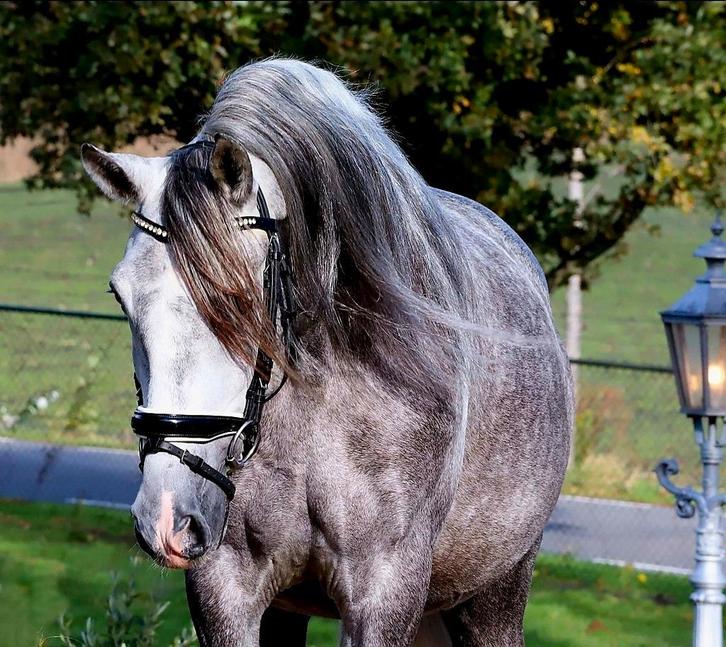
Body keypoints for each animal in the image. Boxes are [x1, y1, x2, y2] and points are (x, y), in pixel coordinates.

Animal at [80, 58, 572, 647]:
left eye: (236, 296)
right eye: (119, 294)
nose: (167, 516)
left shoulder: (384, 593)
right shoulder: (226, 590)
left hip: (496, 592)